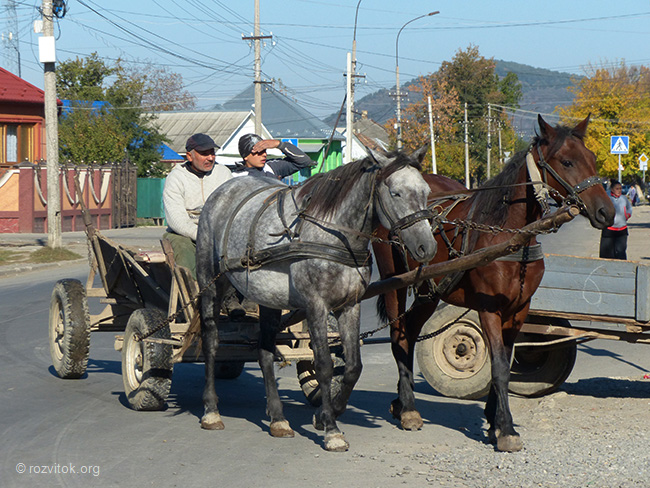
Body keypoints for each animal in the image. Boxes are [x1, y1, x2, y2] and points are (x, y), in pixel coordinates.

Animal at [192, 148, 436, 450]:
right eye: (396, 193)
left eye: (426, 191)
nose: (427, 247)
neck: (335, 234)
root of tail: (221, 191)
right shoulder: (316, 306)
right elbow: (324, 366)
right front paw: (331, 429)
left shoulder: (350, 305)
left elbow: (353, 366)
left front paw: (326, 414)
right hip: (211, 283)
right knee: (211, 342)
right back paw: (211, 411)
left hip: (268, 300)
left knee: (264, 352)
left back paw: (278, 419)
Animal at [370, 113, 612, 450]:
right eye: (566, 161)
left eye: (591, 158)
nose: (607, 211)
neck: (510, 236)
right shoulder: (489, 310)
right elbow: (497, 366)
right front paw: (506, 429)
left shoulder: (519, 309)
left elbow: (507, 362)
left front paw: (493, 421)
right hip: (394, 282)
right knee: (397, 335)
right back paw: (407, 408)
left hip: (429, 292)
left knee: (409, 332)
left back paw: (400, 402)